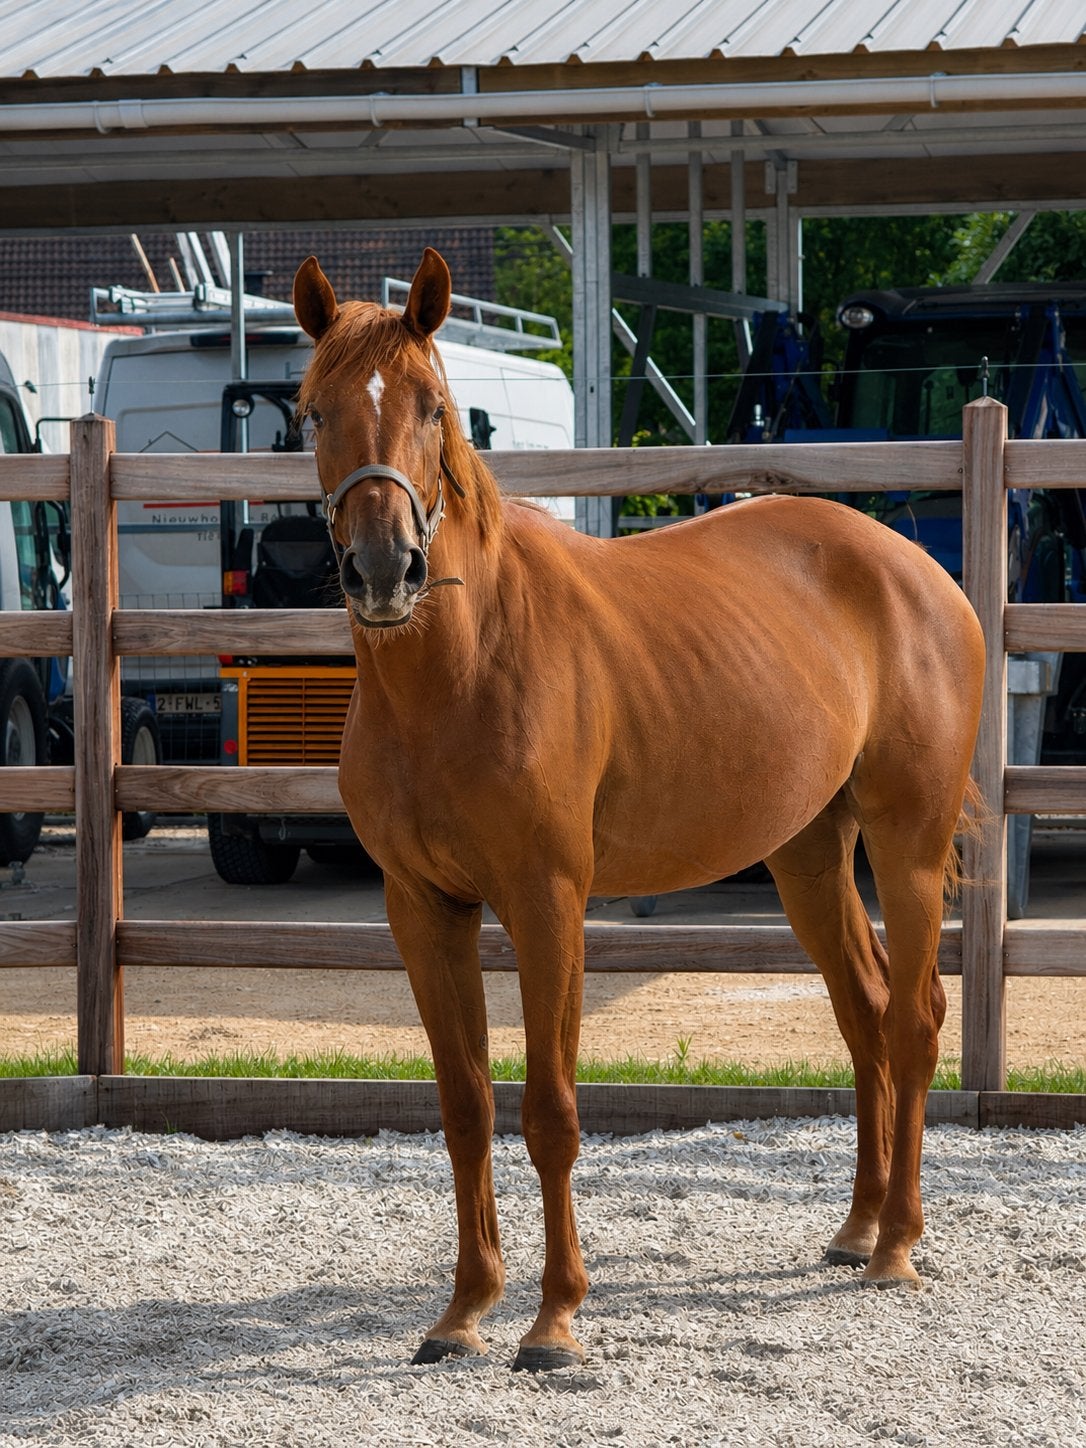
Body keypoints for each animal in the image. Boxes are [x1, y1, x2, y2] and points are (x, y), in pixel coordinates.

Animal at [292, 247, 985, 1372]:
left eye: (436, 408)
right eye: (313, 412)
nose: (385, 569)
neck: (458, 670)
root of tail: (917, 568)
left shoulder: (548, 902)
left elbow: (550, 1111)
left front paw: (555, 1319)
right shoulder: (422, 908)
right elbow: (464, 1106)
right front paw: (464, 1311)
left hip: (906, 844)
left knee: (915, 1020)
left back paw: (897, 1248)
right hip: (809, 854)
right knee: (866, 1014)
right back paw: (856, 1228)